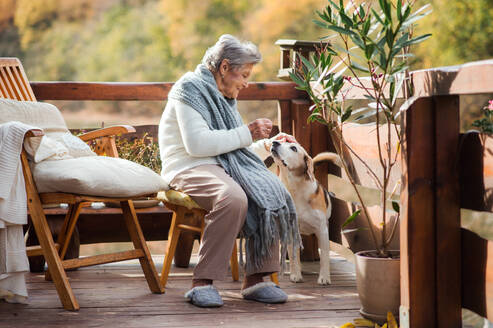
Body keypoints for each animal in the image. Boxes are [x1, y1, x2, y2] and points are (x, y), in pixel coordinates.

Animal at [264, 136, 340, 284]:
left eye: (293, 148)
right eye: (282, 141)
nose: (275, 142)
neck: (295, 190)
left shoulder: (322, 230)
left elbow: (324, 258)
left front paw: (324, 277)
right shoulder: (290, 230)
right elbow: (294, 256)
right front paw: (295, 274)